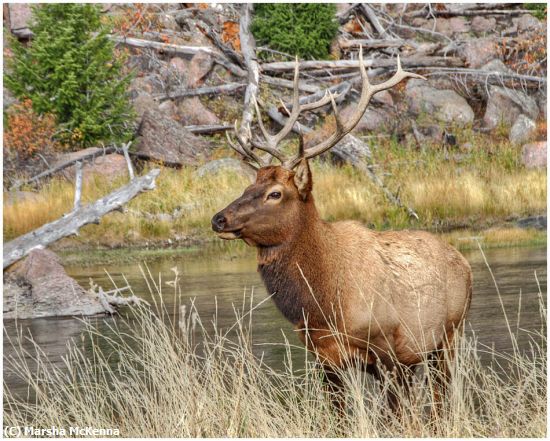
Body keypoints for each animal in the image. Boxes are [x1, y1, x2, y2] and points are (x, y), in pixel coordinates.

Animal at [211, 49, 474, 410]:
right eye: (248, 186)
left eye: (274, 193)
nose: (218, 219)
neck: (323, 304)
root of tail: (465, 264)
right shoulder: (325, 358)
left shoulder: (388, 350)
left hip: (448, 337)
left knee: (439, 401)